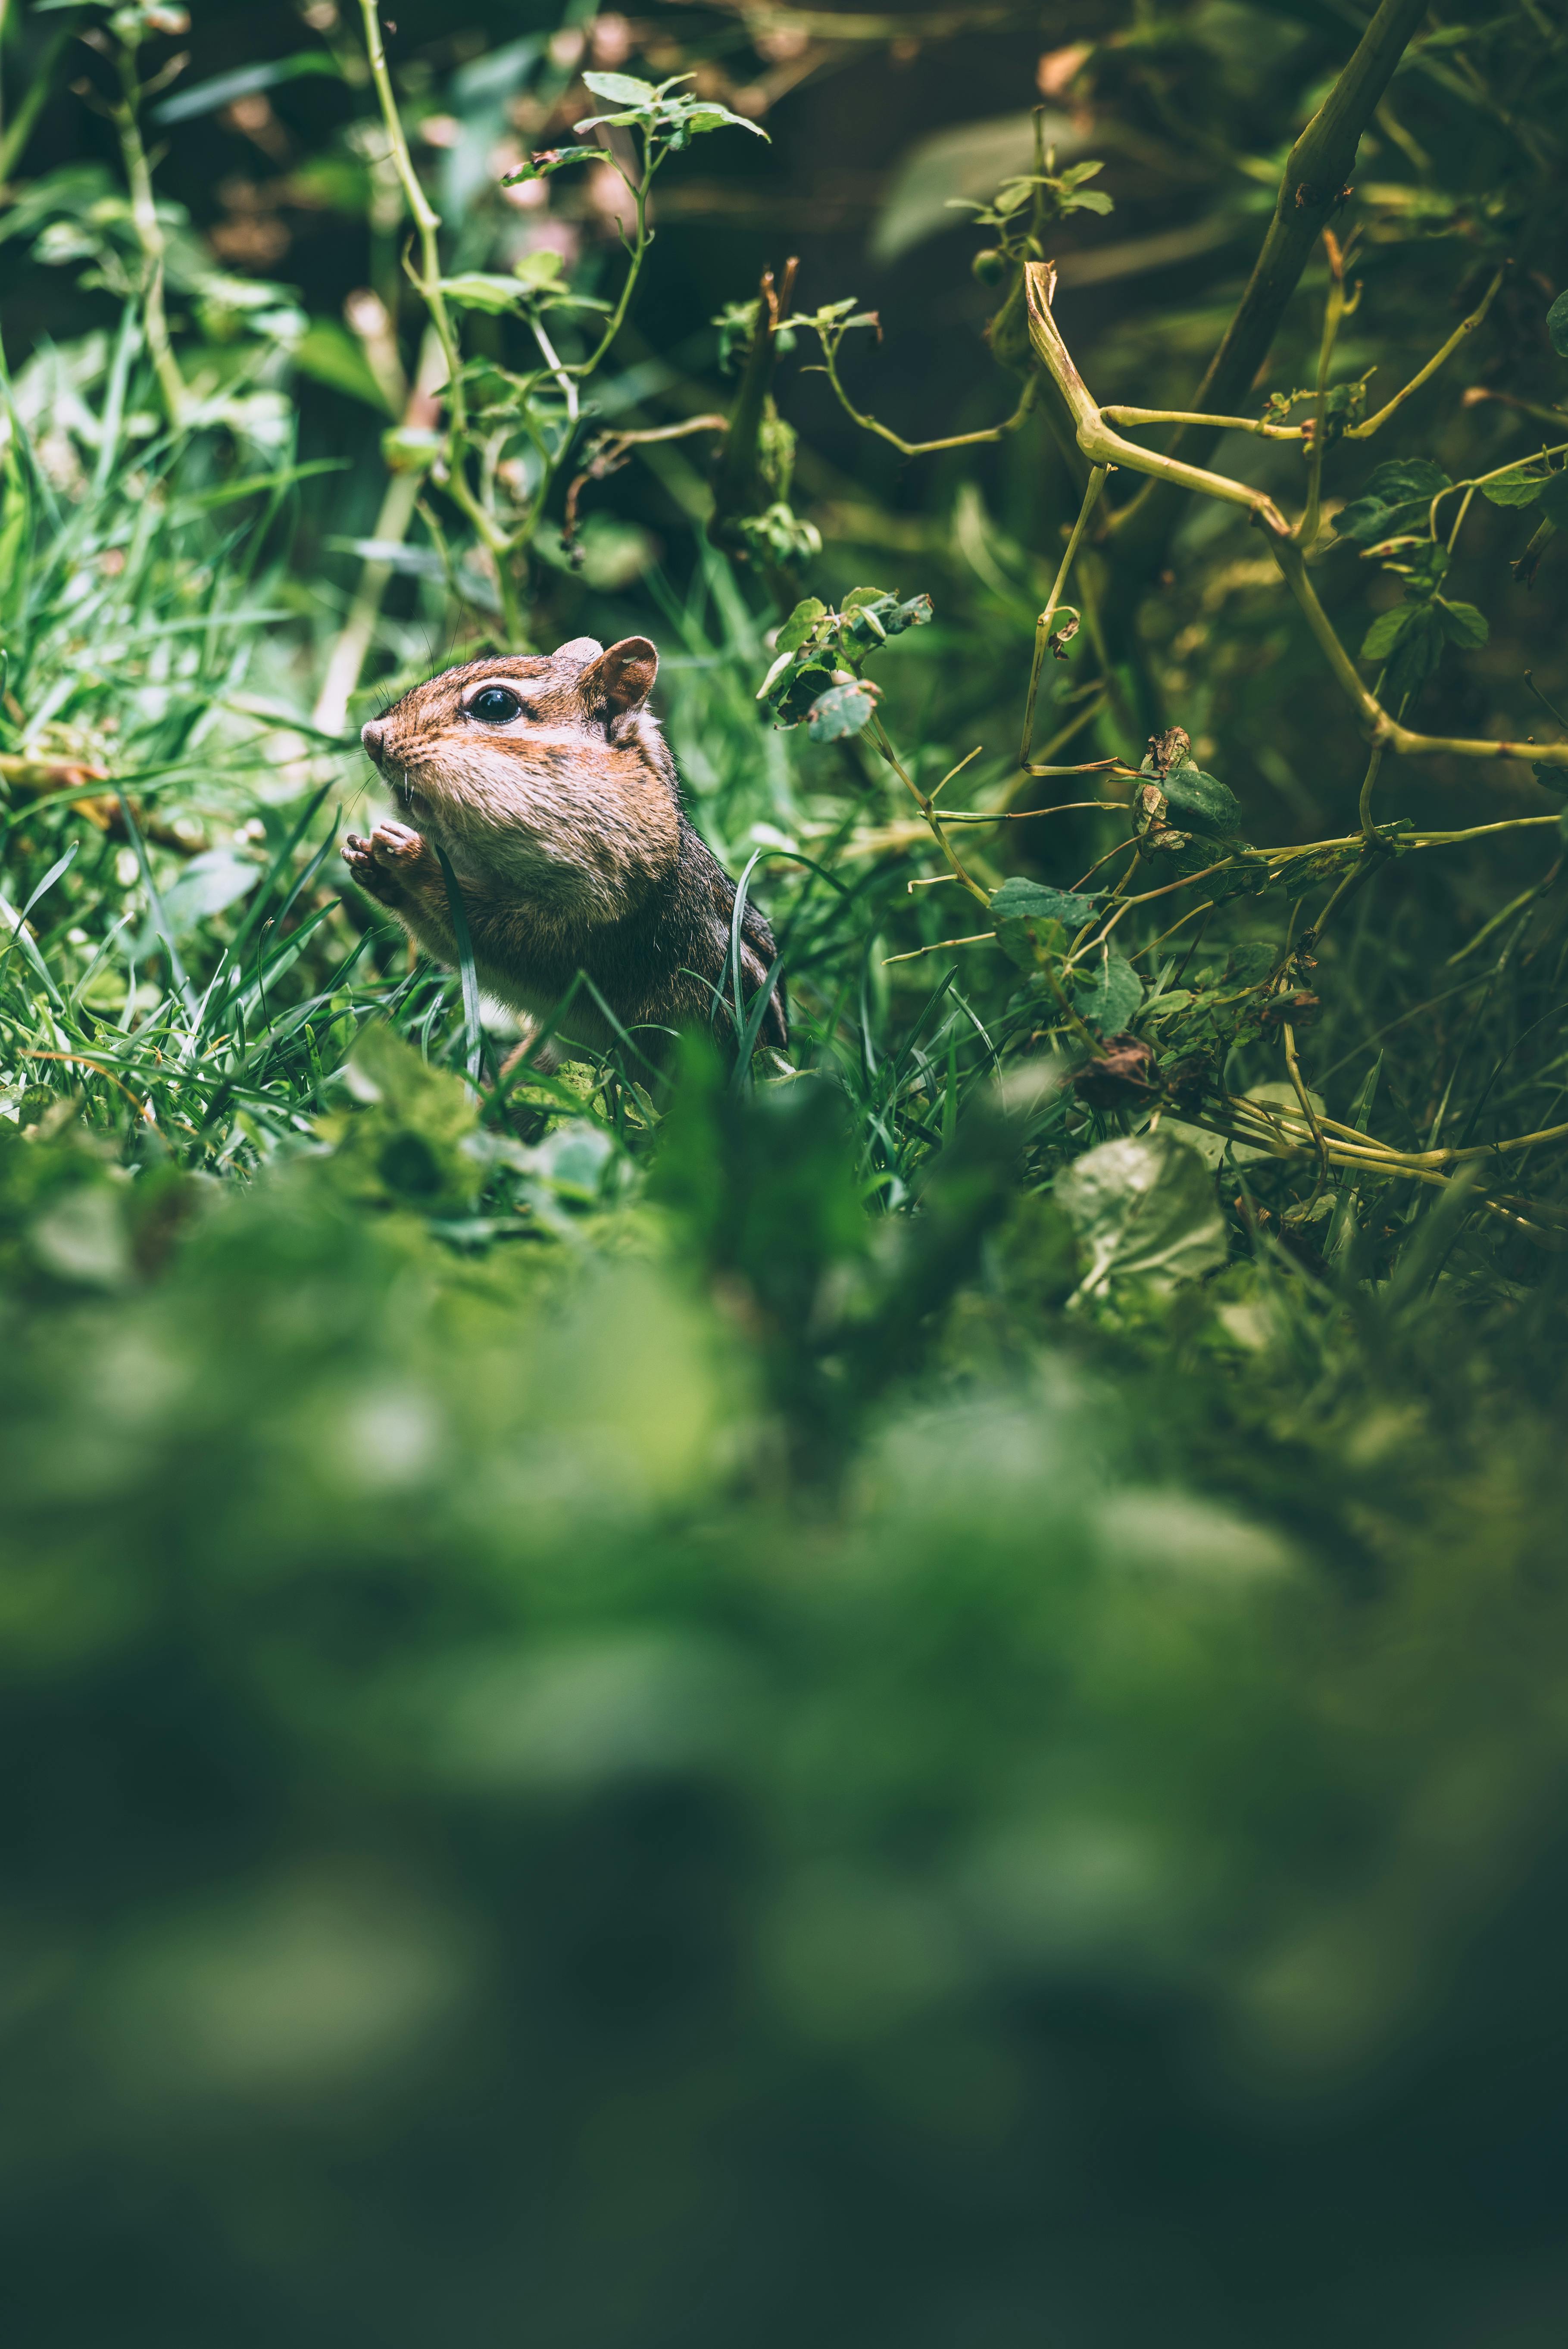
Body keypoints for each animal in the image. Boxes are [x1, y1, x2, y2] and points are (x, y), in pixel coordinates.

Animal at [343, 634, 786, 1060]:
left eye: (494, 704)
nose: (371, 737)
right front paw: (370, 864)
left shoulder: (599, 915)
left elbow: (495, 931)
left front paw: (411, 859)